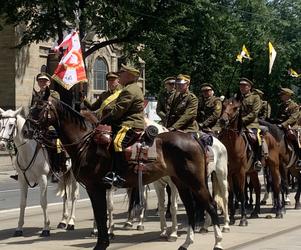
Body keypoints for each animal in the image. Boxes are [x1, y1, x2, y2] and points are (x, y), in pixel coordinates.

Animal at [0, 107, 79, 236]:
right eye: (0, 123)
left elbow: (43, 202)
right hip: (63, 174)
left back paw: (71, 222)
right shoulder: (22, 180)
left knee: (74, 195)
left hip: (74, 175)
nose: (1, 144)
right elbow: (22, 203)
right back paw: (63, 221)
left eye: (11, 125)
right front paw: (19, 228)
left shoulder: (43, 179)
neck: (27, 151)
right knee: (65, 195)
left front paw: (46, 228)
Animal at [22, 88, 223, 250]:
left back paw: (218, 242)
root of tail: (194, 138)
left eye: (39, 108)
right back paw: (187, 243)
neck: (85, 143)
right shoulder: (98, 188)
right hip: (181, 182)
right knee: (190, 208)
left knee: (211, 205)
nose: (25, 131)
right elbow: (100, 215)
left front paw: (102, 243)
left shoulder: (96, 187)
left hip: (195, 181)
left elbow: (101, 215)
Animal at [217, 97, 282, 227]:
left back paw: (278, 211)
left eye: (235, 108)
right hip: (253, 171)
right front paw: (232, 218)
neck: (232, 145)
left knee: (276, 185)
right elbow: (231, 194)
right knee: (257, 187)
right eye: (223, 105)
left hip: (274, 167)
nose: (222, 120)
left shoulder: (241, 172)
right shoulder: (229, 173)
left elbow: (242, 193)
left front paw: (243, 219)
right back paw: (255, 211)